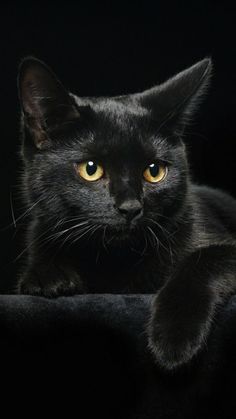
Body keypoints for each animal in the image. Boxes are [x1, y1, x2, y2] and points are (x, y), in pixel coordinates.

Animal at [17, 56, 236, 370]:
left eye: (154, 171)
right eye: (91, 169)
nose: (131, 207)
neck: (114, 261)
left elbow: (206, 258)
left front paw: (173, 338)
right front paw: (47, 277)